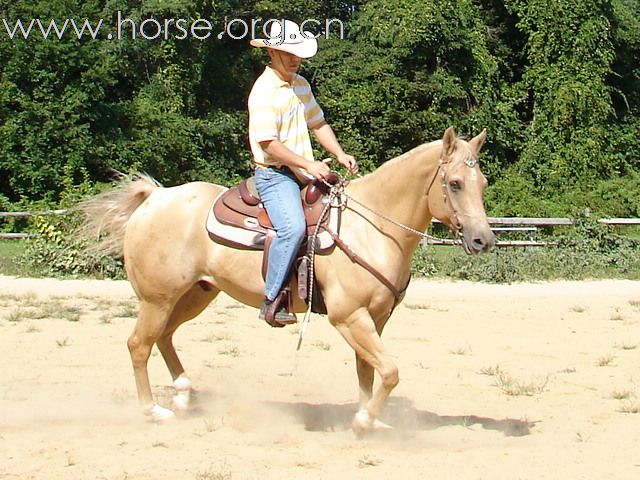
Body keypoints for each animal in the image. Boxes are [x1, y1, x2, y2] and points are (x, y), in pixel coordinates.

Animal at [80, 125, 496, 434]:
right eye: (455, 183)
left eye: (484, 183)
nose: (483, 240)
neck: (371, 227)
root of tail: (154, 197)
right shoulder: (349, 317)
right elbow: (390, 372)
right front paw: (363, 420)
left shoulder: (375, 318)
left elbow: (369, 370)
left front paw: (369, 417)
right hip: (158, 298)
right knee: (139, 344)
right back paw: (152, 411)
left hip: (196, 294)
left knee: (163, 337)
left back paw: (183, 394)